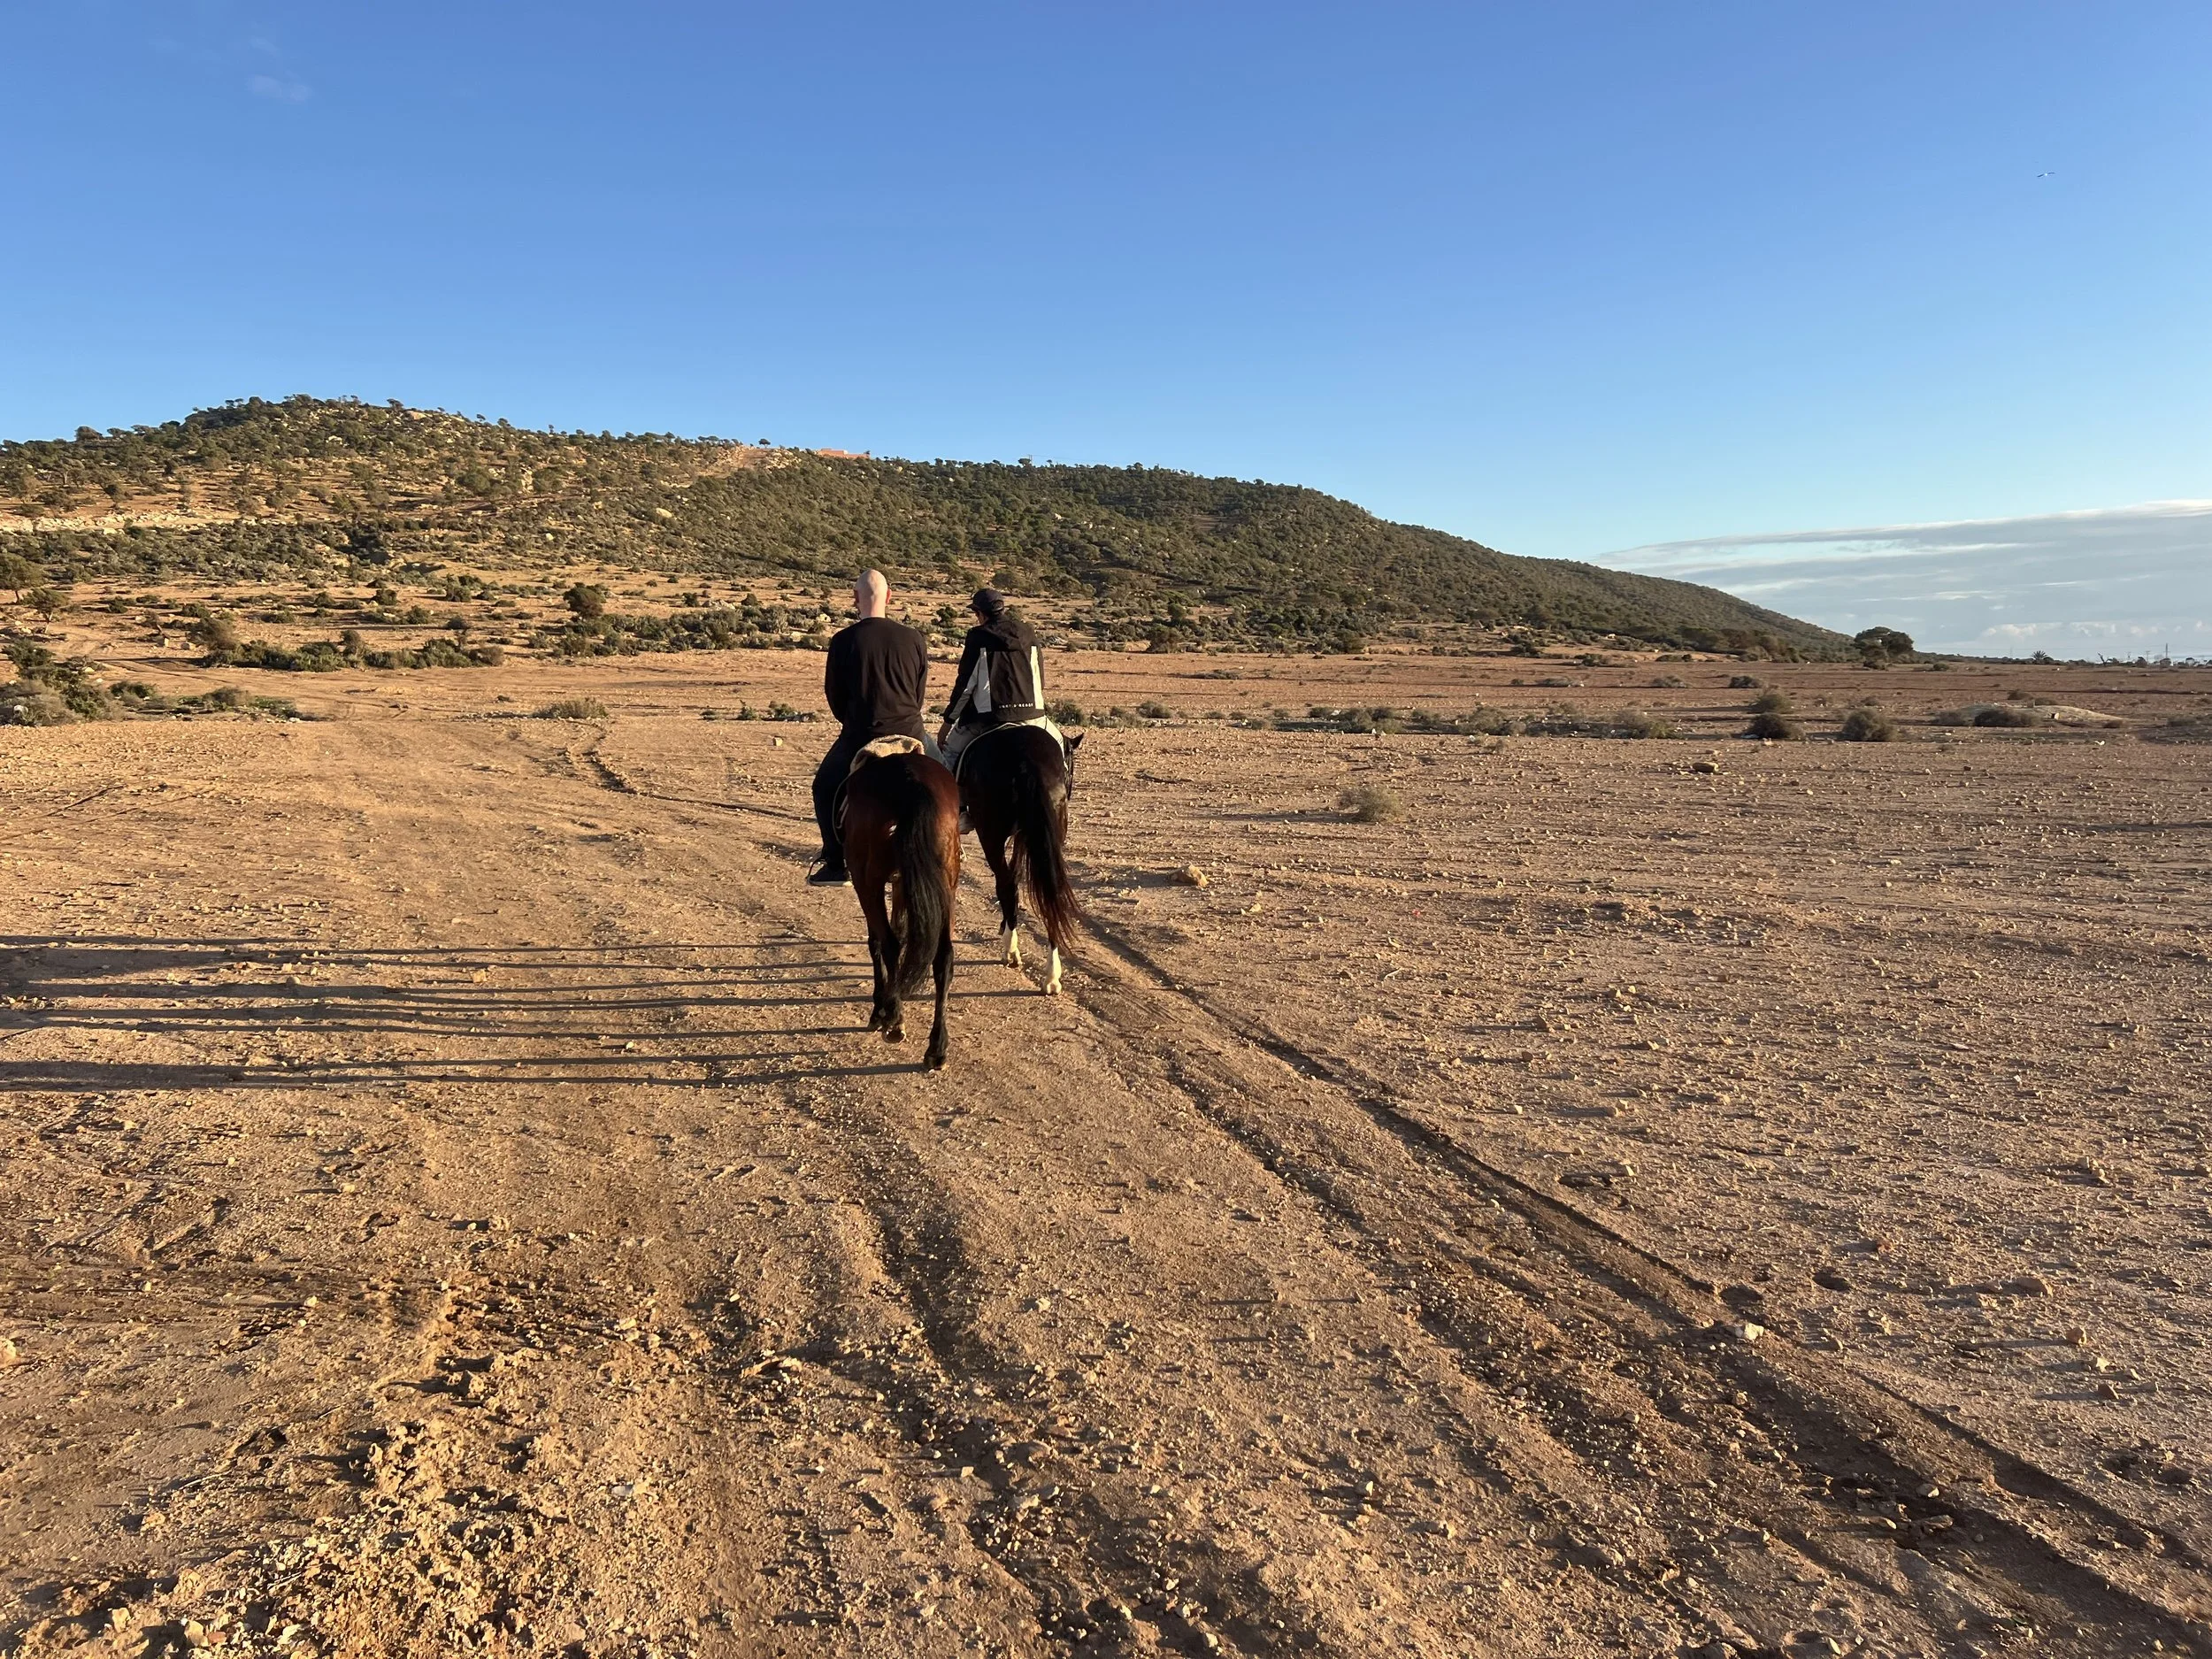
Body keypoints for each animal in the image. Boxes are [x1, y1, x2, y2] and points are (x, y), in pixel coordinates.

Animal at [840, 742, 961, 1069]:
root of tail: (910, 780)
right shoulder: (904, 884)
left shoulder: (871, 882)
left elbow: (878, 941)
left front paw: (879, 1008)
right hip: (945, 883)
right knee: (943, 956)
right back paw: (937, 1047)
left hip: (867, 880)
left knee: (890, 943)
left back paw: (893, 1018)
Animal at [956, 724, 1082, 995]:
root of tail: (1027, 760)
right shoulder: (1025, 836)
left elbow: (1009, 880)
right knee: (1049, 892)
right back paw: (1052, 975)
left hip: (991, 835)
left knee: (1006, 884)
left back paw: (1011, 949)